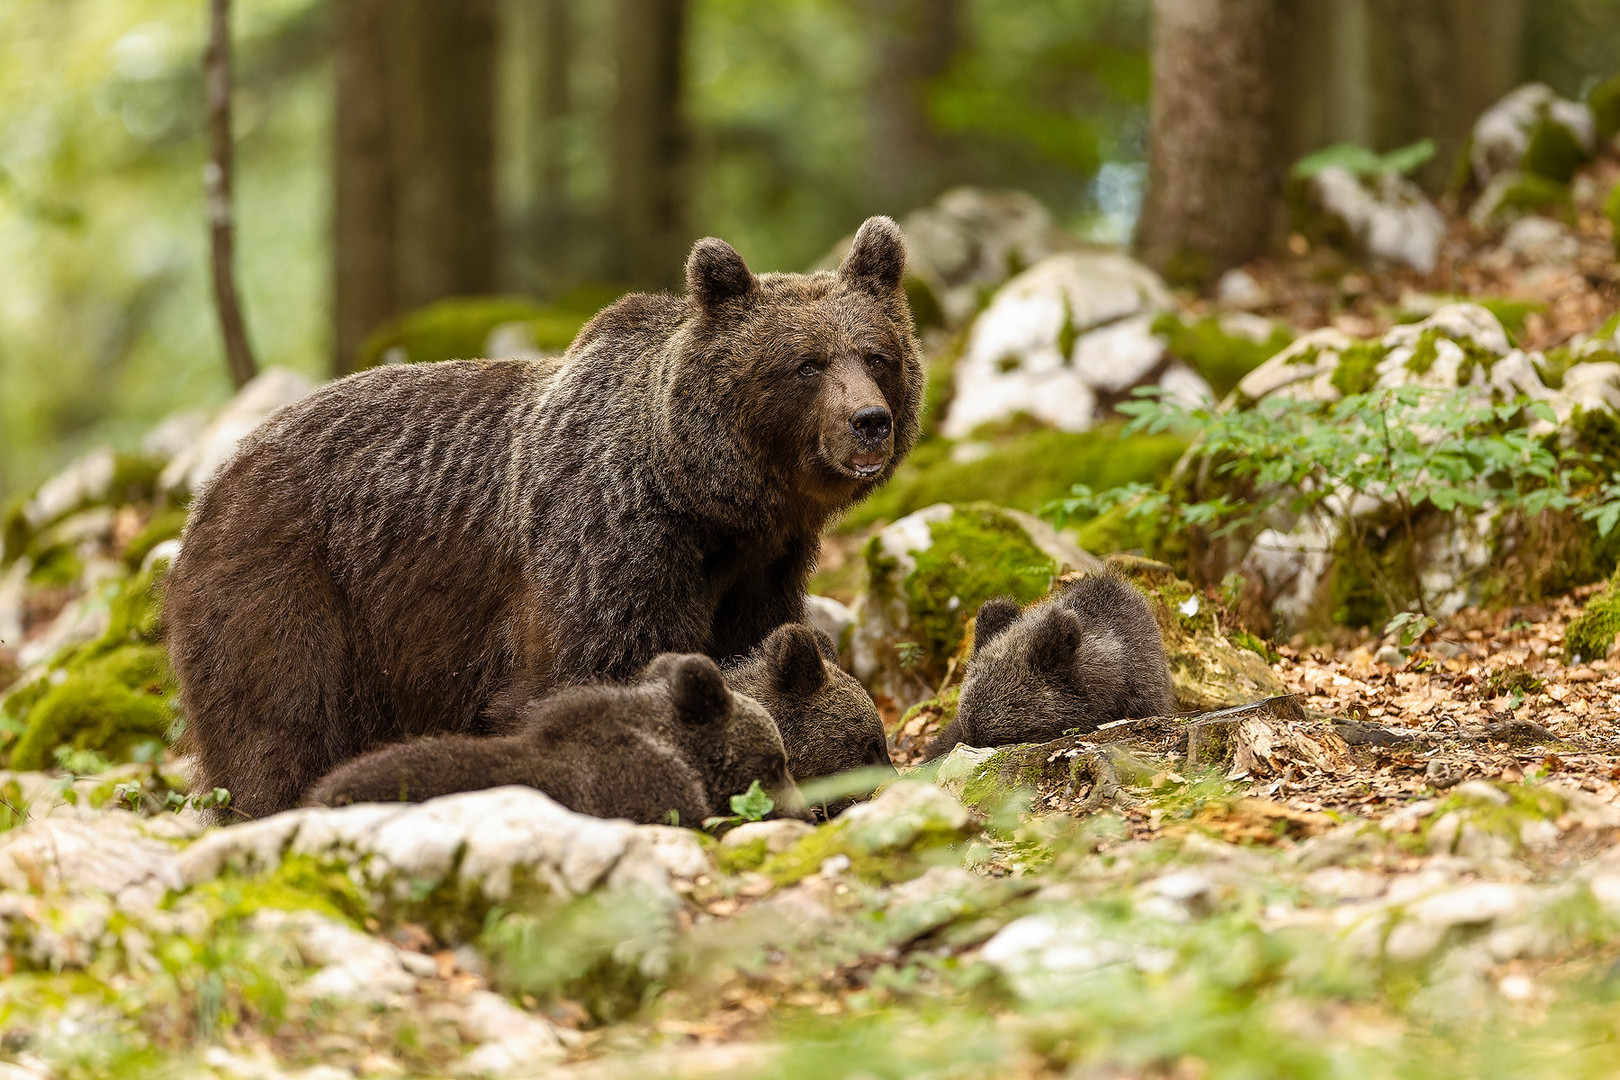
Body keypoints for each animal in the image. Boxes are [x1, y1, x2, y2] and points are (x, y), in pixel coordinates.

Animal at [167, 220, 926, 816]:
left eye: (878, 356)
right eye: (806, 365)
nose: (869, 422)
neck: (707, 501)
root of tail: (214, 479)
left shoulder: (762, 570)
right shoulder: (608, 546)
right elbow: (594, 670)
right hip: (291, 585)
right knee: (278, 722)